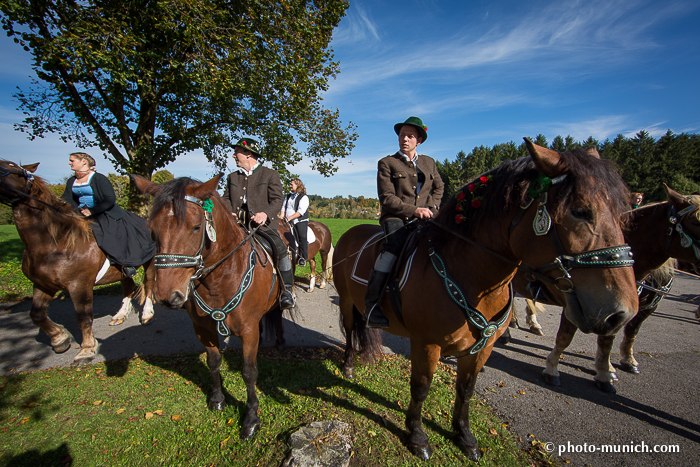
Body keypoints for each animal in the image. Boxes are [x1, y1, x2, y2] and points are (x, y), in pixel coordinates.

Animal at [0, 161, 154, 366]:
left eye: (9, 166)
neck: (54, 241)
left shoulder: (79, 284)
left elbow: (84, 317)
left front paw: (86, 349)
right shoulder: (43, 284)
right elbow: (37, 314)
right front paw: (60, 339)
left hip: (150, 263)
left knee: (149, 285)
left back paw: (147, 314)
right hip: (122, 269)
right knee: (128, 287)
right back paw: (120, 315)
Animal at [131, 174, 284, 440]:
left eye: (195, 227)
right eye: (152, 231)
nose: (167, 296)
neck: (220, 280)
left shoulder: (248, 331)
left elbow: (249, 372)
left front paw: (251, 419)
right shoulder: (203, 329)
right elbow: (213, 362)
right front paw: (217, 399)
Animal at [334, 141, 640, 462]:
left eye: (623, 213)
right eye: (580, 211)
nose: (622, 313)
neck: (470, 276)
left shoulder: (481, 348)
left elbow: (466, 389)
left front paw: (464, 436)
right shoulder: (426, 345)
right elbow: (420, 388)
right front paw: (417, 436)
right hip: (347, 303)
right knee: (349, 332)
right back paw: (348, 366)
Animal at [508, 185, 700, 394]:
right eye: (694, 220)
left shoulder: (624, 311)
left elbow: (617, 338)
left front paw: (609, 369)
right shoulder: (576, 306)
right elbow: (565, 337)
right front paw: (552, 368)